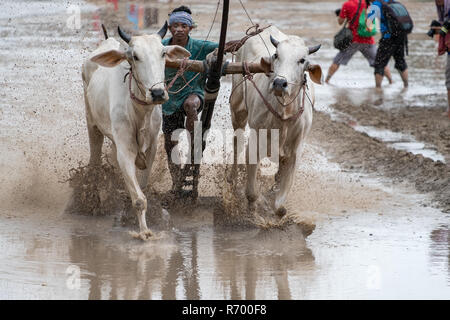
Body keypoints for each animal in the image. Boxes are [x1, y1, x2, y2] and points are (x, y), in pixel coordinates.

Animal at [81, 25, 190, 239]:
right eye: (135, 56)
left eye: (163, 53)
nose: (158, 93)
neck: (140, 112)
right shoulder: (125, 151)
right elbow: (139, 199)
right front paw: (144, 232)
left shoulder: (151, 148)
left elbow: (142, 185)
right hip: (92, 124)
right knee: (94, 158)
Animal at [230, 26, 322, 216]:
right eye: (276, 55)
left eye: (302, 60)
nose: (280, 83)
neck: (284, 114)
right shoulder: (255, 142)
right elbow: (251, 192)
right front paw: (252, 209)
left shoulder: (295, 151)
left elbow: (280, 205)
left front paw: (275, 205)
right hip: (238, 111)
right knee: (237, 143)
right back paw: (233, 179)